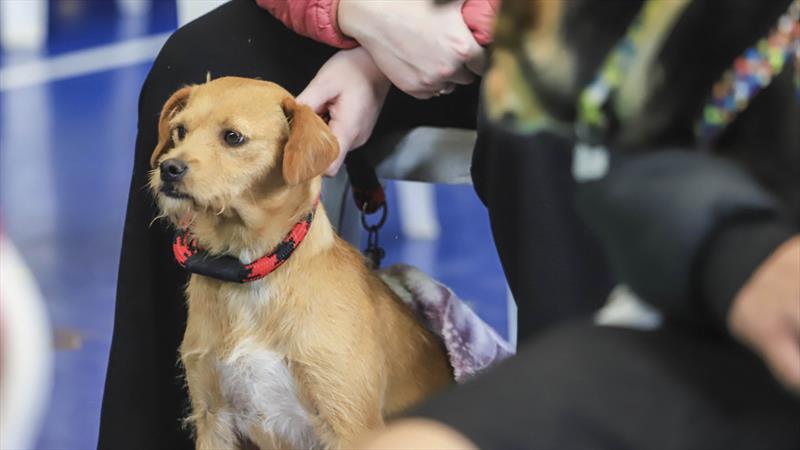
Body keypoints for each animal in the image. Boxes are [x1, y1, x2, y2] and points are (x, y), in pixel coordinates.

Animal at [148, 77, 454, 450]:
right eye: (180, 130)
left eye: (233, 137)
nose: (168, 168)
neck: (249, 274)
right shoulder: (213, 418)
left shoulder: (349, 423)